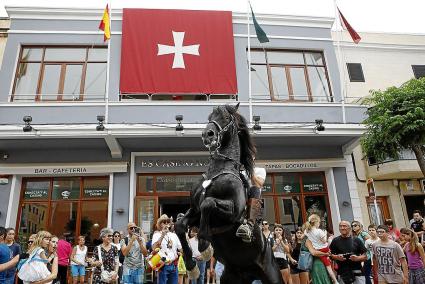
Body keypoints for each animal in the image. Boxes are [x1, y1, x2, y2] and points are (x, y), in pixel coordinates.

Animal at [174, 104, 284, 284]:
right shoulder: (195, 210)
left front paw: (204, 245)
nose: (208, 134)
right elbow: (180, 225)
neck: (219, 170)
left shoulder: (233, 212)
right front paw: (191, 266)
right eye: (209, 116)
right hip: (231, 277)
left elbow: (208, 203)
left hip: (273, 276)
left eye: (225, 117)